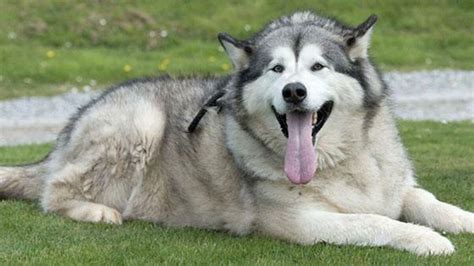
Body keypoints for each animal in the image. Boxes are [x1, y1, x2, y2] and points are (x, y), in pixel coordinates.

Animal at [0, 11, 474, 256]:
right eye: (276, 69)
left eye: (317, 66)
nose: (294, 90)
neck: (340, 162)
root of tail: (73, 123)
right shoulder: (299, 221)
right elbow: (372, 221)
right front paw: (425, 239)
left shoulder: (397, 187)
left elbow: (427, 202)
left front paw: (460, 221)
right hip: (140, 123)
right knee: (53, 192)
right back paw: (96, 210)